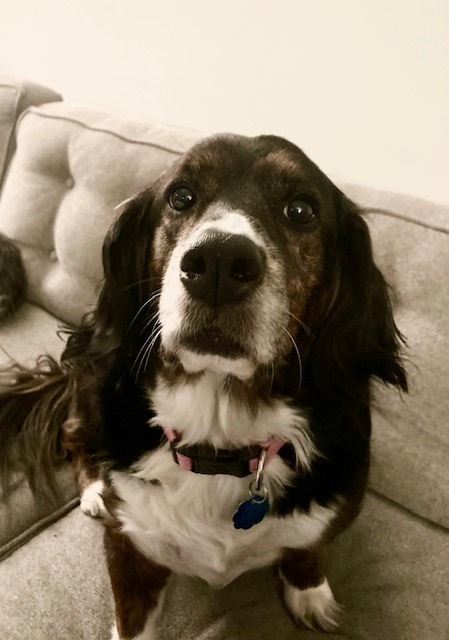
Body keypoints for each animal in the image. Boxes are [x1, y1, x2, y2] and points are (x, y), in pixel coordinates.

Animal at [0, 132, 406, 636]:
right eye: (181, 197)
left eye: (300, 210)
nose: (218, 261)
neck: (220, 432)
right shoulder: (130, 551)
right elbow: (132, 618)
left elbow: (308, 547)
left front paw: (310, 591)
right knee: (76, 434)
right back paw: (94, 488)